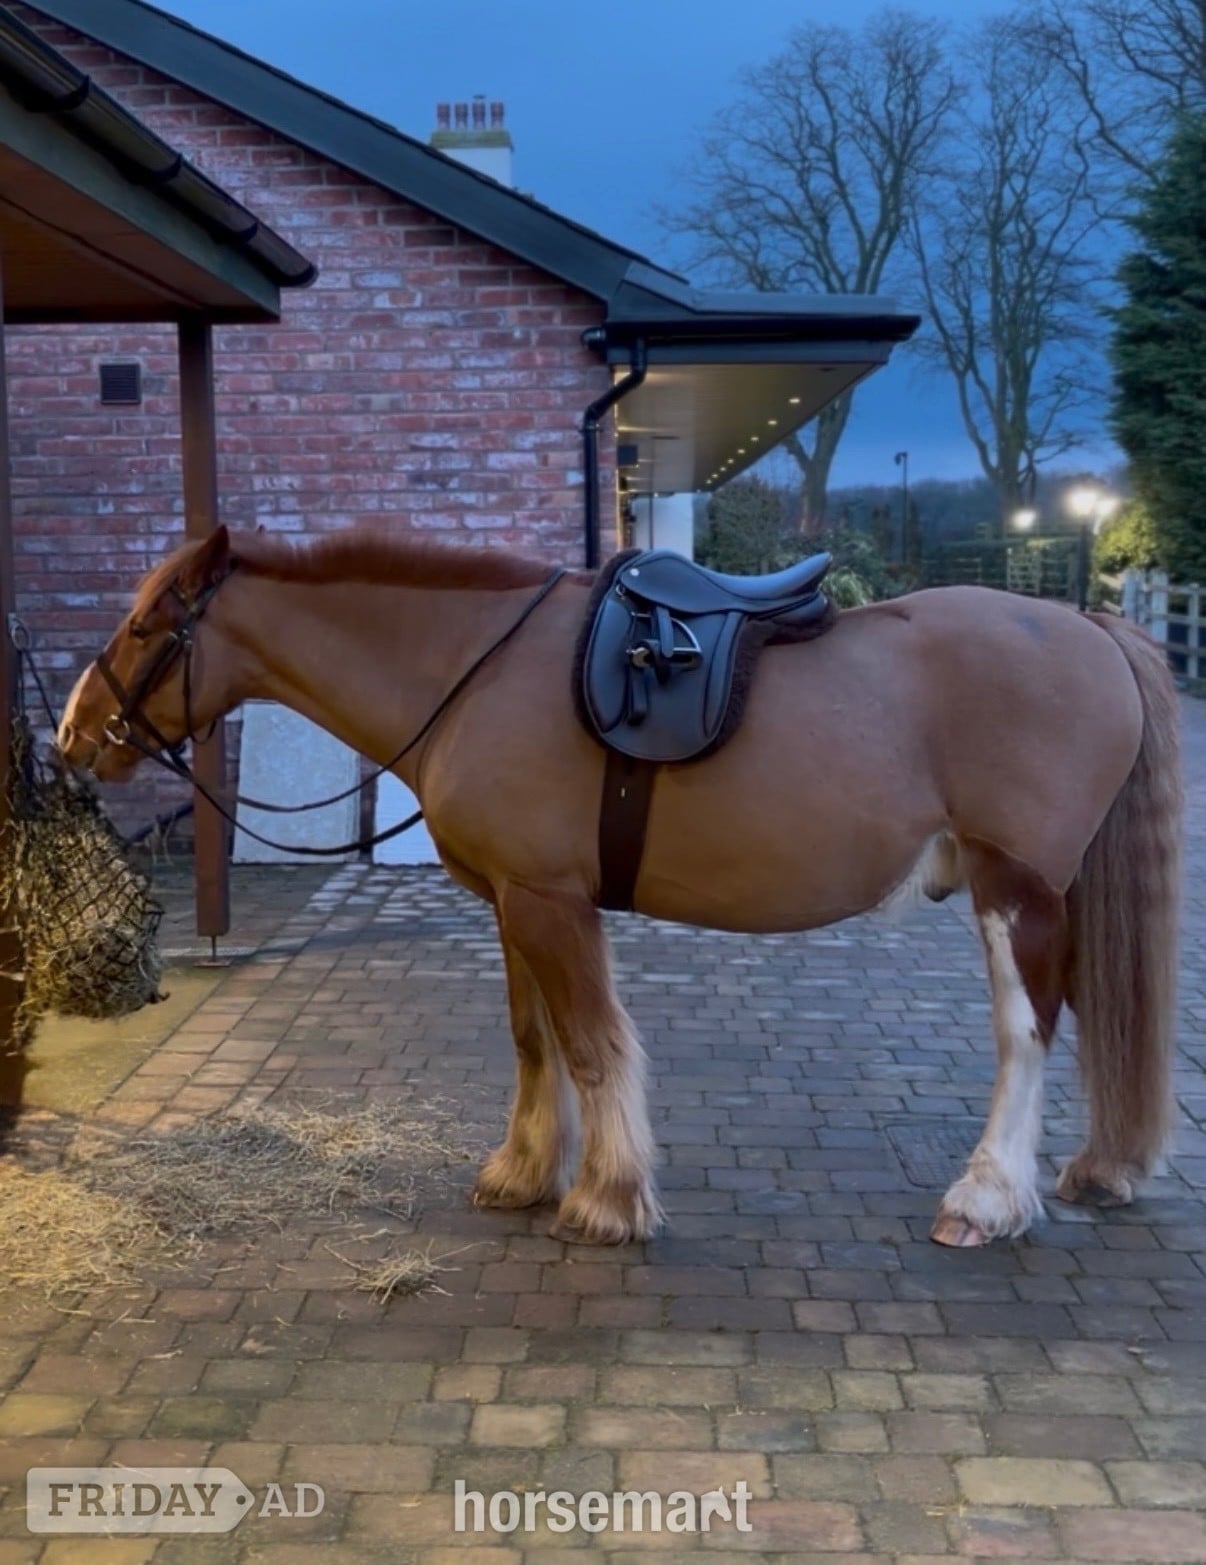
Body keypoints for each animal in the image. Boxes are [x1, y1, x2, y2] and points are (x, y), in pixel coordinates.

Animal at [56, 525, 1182, 1248]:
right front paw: (521, 1172)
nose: (71, 733)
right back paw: (1097, 1168)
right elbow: (534, 1038)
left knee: (1026, 1032)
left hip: (1013, 887)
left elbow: (593, 1042)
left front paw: (607, 1195)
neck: (475, 670)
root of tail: (1086, 625)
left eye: (149, 626)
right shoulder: (513, 898)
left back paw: (988, 1199)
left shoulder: (551, 901)